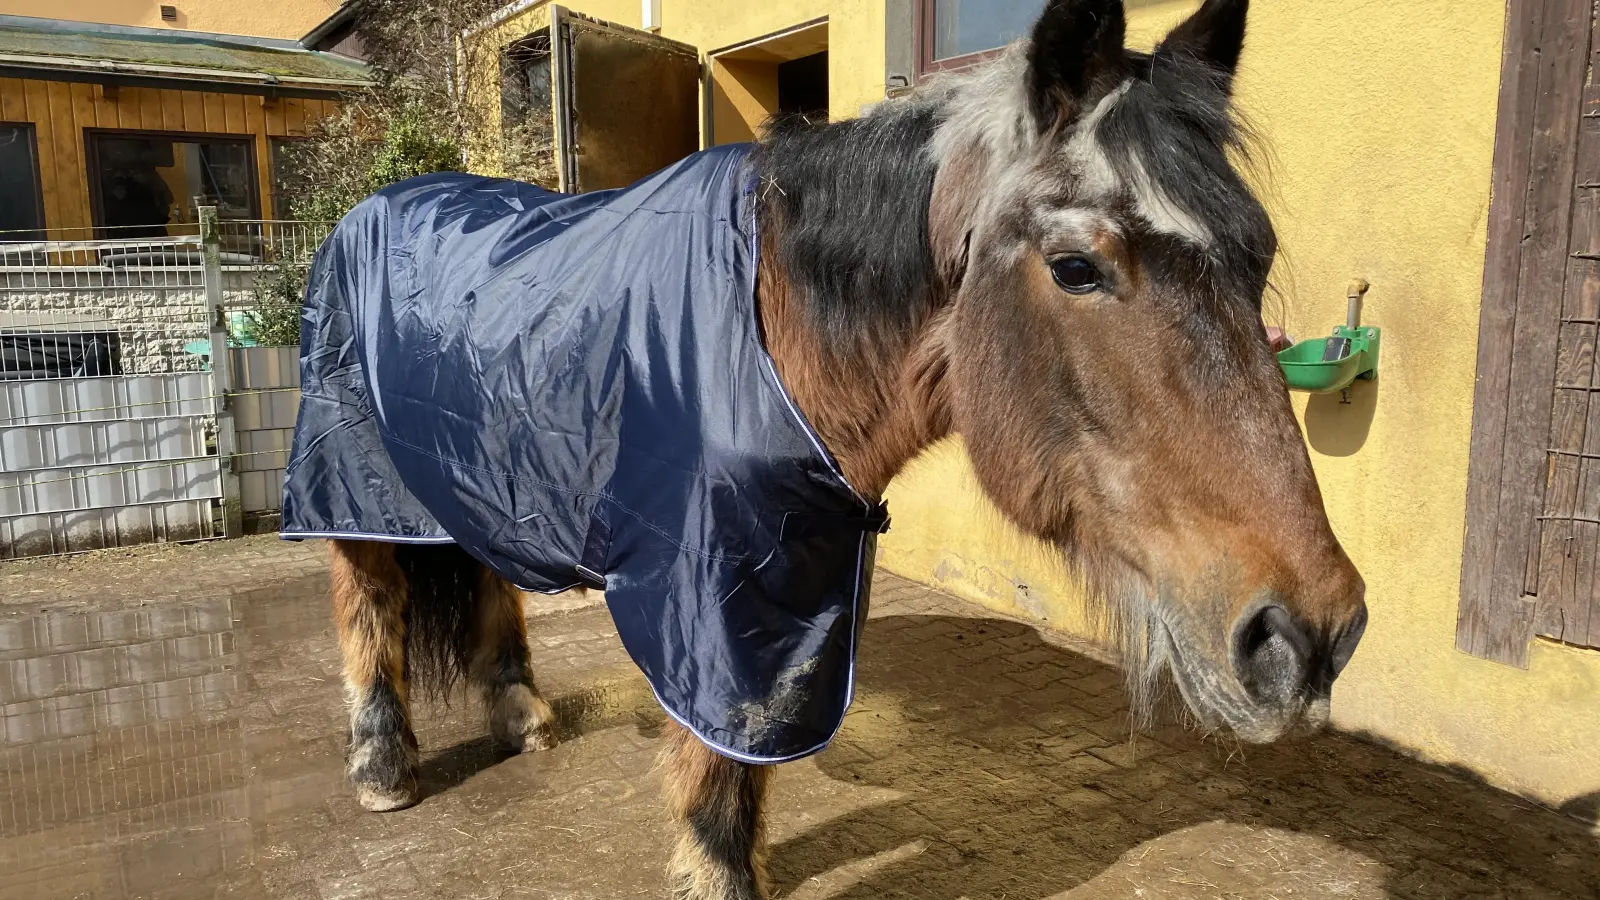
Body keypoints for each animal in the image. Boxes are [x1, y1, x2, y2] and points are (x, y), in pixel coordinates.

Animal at [288, 0, 1363, 890]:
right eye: (1075, 267)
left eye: (1259, 255)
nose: (1310, 636)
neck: (772, 331)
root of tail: (370, 206)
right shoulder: (714, 609)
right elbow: (718, 777)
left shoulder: (788, 599)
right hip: (352, 480)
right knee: (367, 601)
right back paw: (382, 765)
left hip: (470, 473)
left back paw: (520, 717)